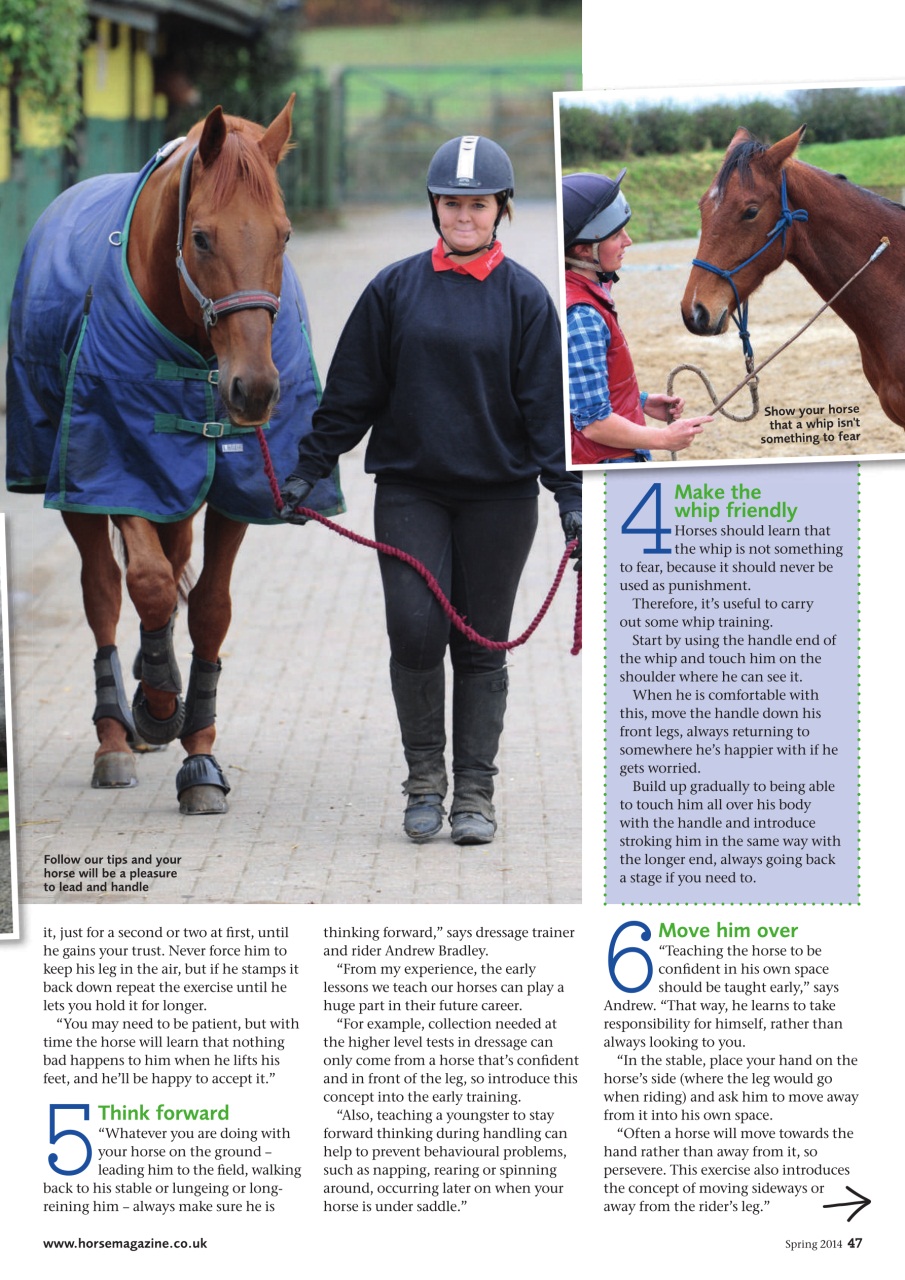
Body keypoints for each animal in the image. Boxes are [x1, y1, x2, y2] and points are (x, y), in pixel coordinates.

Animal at [5, 97, 343, 813]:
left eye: (284, 235)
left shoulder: (232, 491)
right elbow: (151, 585)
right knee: (105, 591)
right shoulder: (122, 472)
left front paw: (201, 753)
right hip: (78, 490)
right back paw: (116, 733)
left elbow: (210, 607)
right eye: (204, 238)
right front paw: (158, 704)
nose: (255, 389)